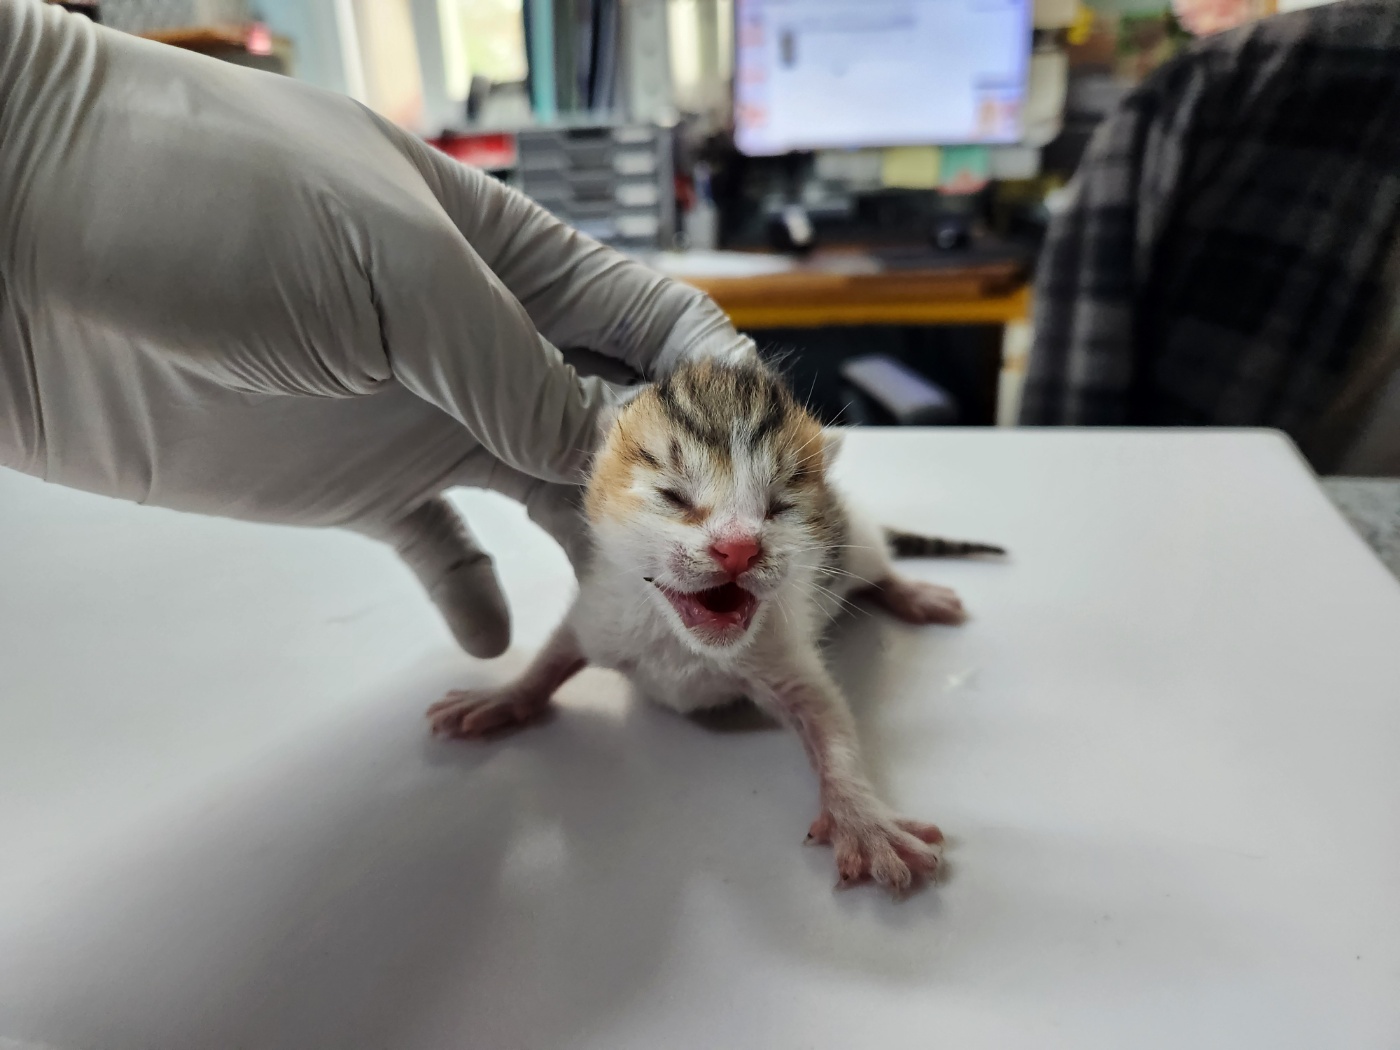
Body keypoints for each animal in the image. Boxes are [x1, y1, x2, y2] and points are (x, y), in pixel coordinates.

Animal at [431, 361, 1002, 896]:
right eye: (673, 496)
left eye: (780, 506)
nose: (739, 547)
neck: (682, 642)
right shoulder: (603, 614)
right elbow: (554, 655)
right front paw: (503, 697)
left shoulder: (782, 650)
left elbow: (830, 724)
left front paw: (864, 820)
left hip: (857, 539)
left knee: (879, 567)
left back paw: (912, 593)